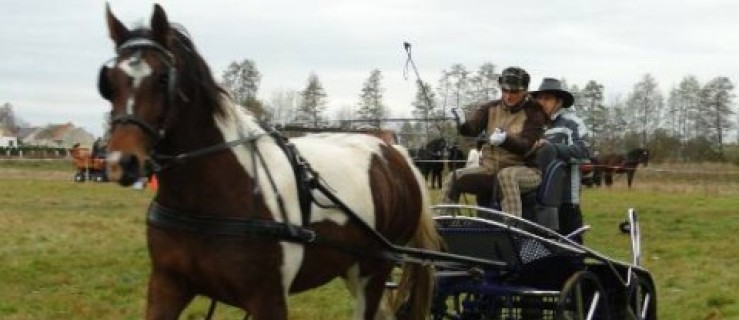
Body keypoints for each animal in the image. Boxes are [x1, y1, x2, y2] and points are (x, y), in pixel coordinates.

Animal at [101, 3, 442, 318]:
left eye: (162, 78)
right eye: (109, 82)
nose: (122, 162)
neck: (207, 199)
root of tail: (396, 154)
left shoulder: (269, 298)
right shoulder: (167, 285)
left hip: (375, 268)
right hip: (351, 266)